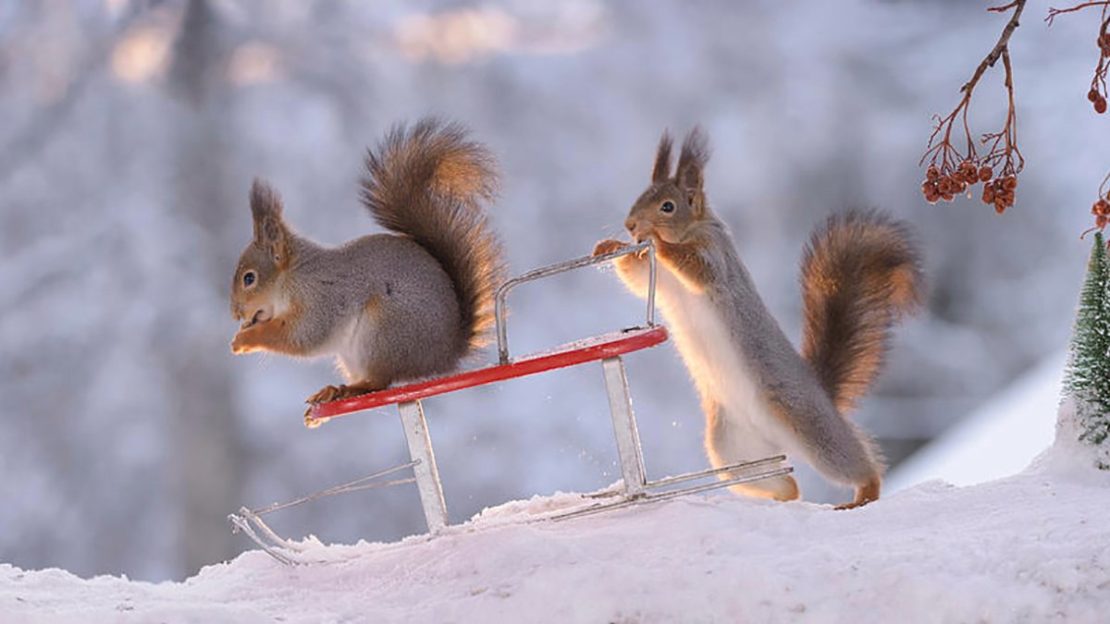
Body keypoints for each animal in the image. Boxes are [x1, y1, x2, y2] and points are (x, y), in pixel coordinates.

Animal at [594, 128, 923, 508]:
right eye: (639, 197)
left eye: (668, 206)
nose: (630, 224)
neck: (693, 229)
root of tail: (822, 394)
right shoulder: (659, 280)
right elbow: (635, 277)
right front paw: (607, 246)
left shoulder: (717, 258)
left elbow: (697, 269)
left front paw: (659, 241)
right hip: (733, 448)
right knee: (785, 483)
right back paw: (780, 498)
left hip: (809, 427)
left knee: (855, 463)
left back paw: (864, 492)